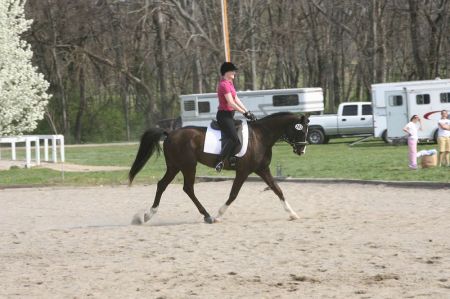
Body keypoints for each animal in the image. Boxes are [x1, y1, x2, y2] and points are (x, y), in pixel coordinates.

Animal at [128, 112, 308, 225]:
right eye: (300, 131)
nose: (302, 150)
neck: (260, 136)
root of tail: (170, 133)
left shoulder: (263, 169)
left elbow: (277, 190)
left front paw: (293, 214)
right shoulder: (243, 171)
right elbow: (233, 194)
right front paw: (218, 215)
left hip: (175, 166)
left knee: (162, 185)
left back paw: (148, 215)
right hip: (187, 165)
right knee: (188, 188)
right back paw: (208, 216)